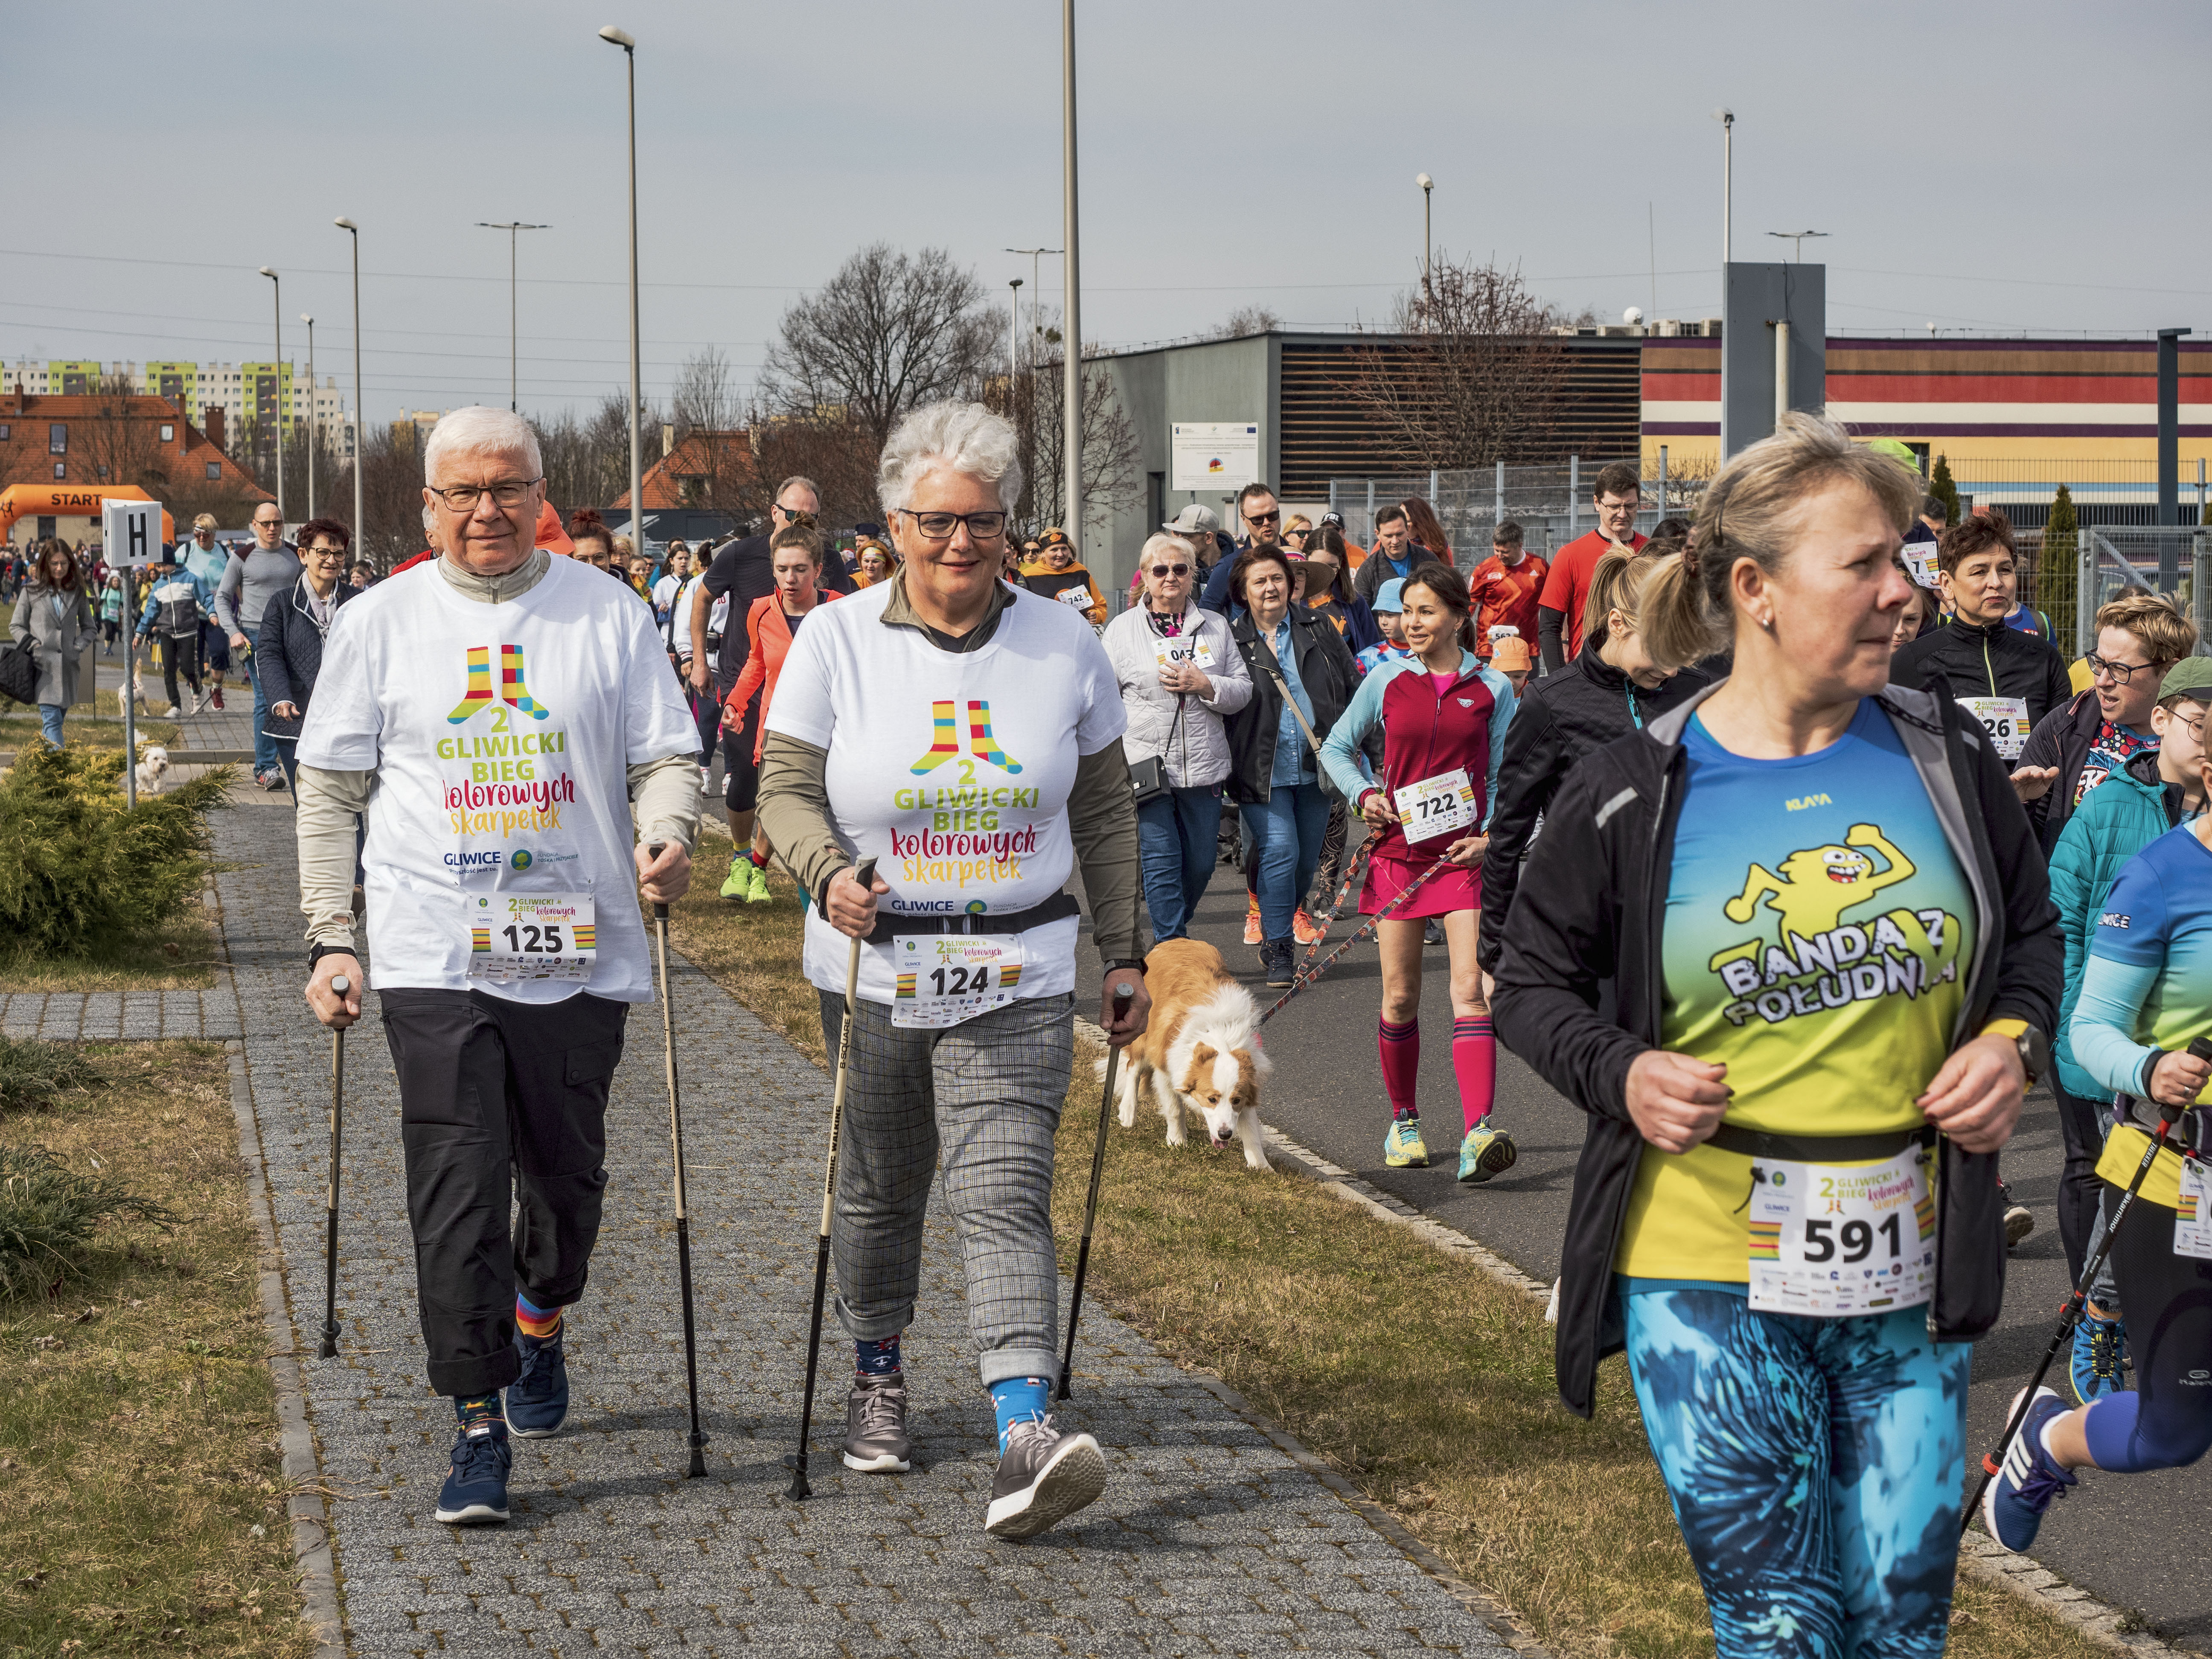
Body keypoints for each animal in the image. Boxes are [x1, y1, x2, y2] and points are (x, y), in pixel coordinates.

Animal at [1115, 942, 1274, 1176]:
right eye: (1212, 1099)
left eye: (1236, 1100)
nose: (1226, 1135)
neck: (1220, 1038)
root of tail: (1176, 941)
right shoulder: (1166, 1067)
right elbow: (1174, 1108)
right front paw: (1177, 1141)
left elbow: (1251, 1128)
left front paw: (1261, 1167)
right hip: (1145, 1030)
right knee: (1133, 1067)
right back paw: (1128, 1111)